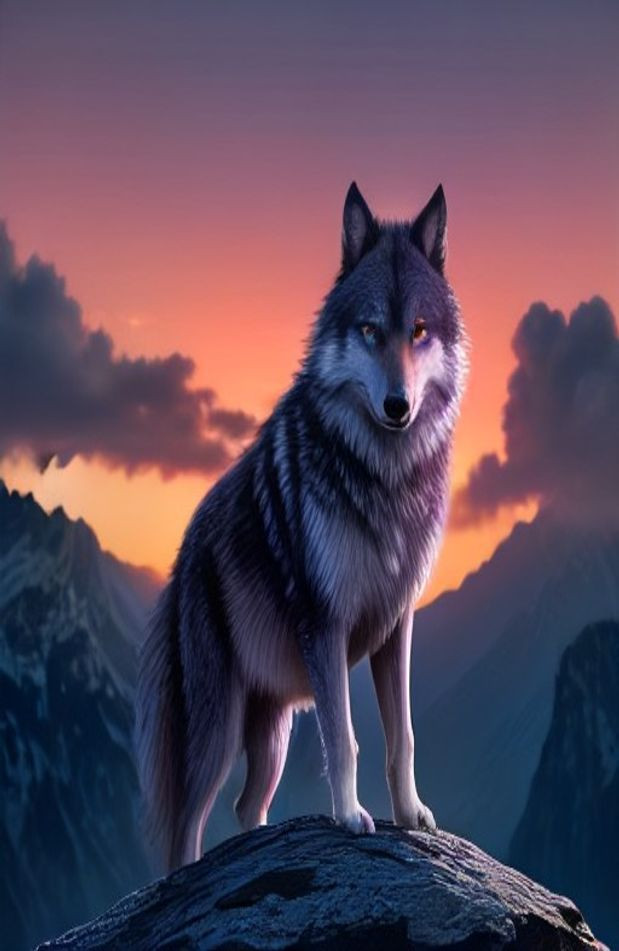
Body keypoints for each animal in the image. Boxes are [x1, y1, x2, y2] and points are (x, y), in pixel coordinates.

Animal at [136, 182, 468, 872]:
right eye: (369, 330)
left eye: (419, 331)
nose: (398, 406)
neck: (383, 474)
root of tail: (180, 562)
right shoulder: (328, 626)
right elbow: (345, 738)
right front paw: (348, 818)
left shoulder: (396, 625)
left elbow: (402, 736)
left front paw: (410, 816)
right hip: (217, 729)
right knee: (187, 825)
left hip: (274, 733)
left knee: (246, 806)